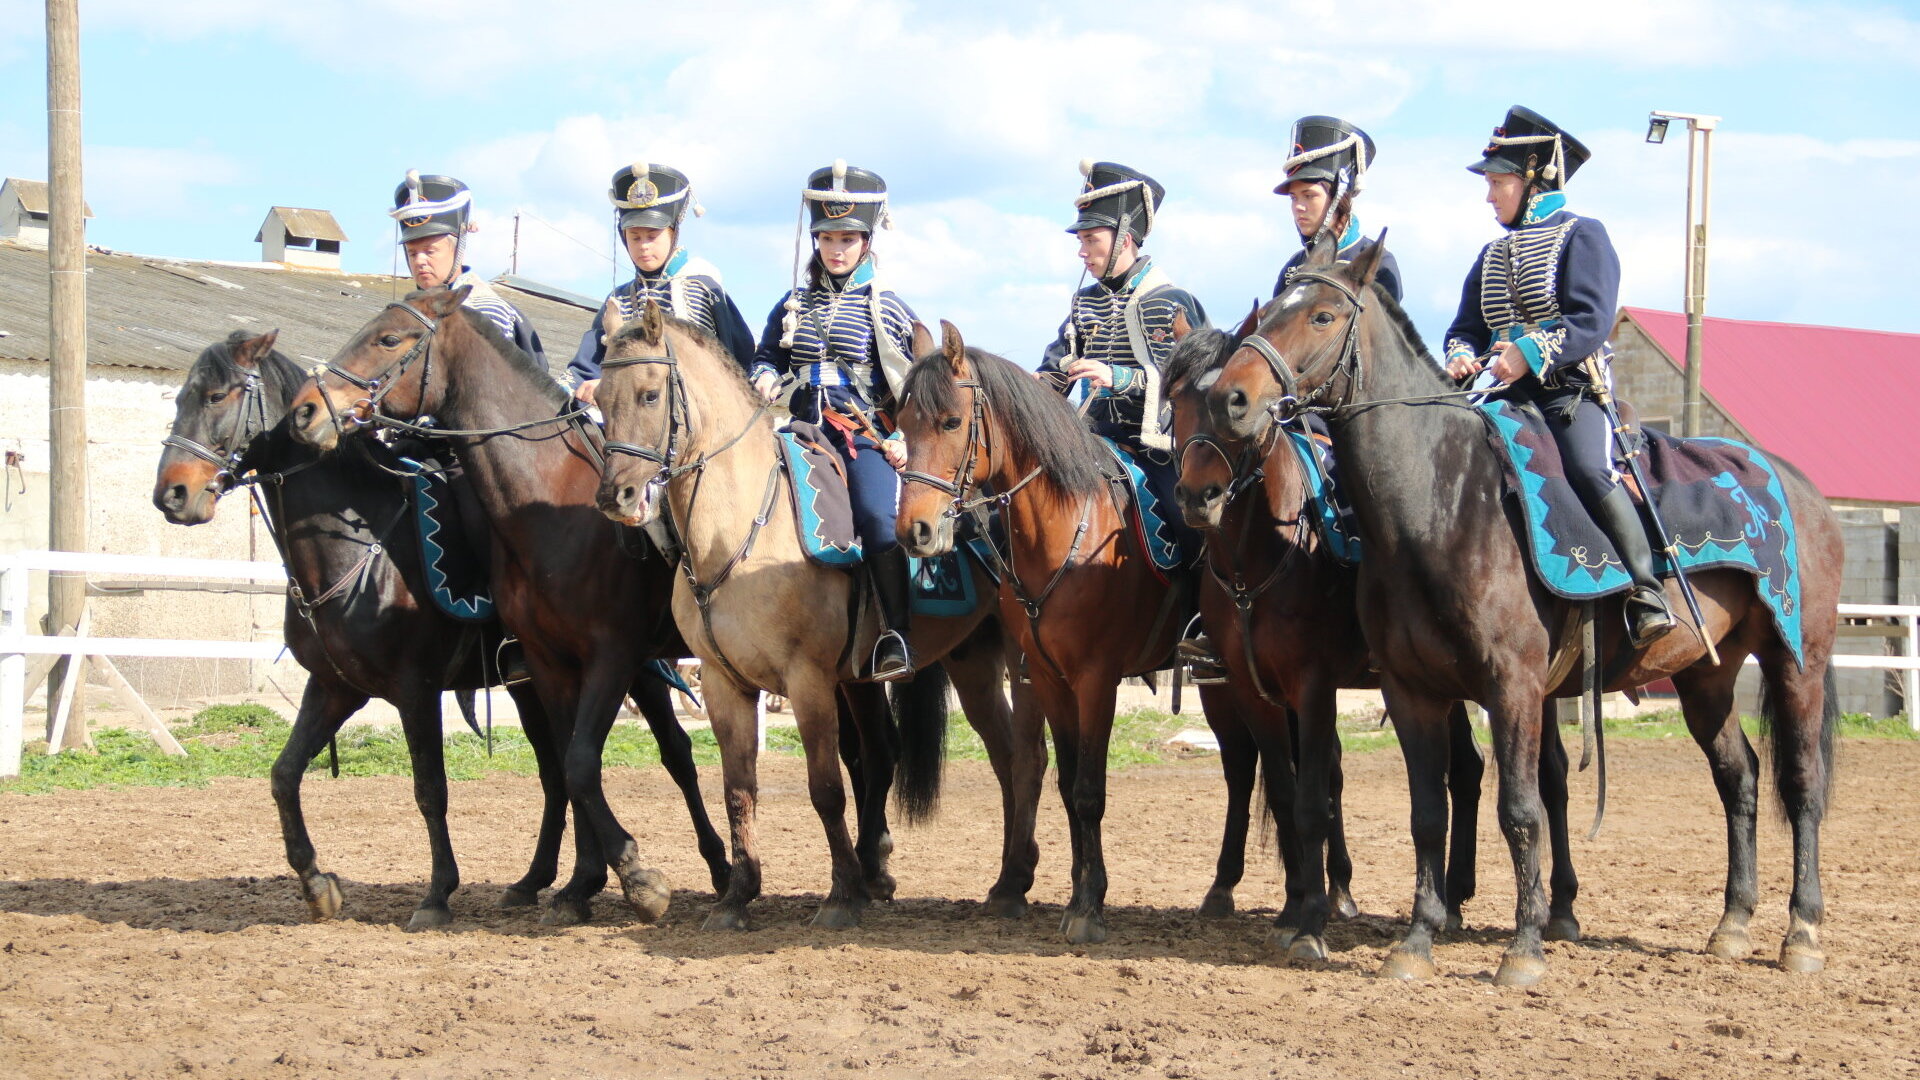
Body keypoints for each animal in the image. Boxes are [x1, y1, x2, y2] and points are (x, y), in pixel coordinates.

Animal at [155, 330, 725, 926]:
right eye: (180, 399)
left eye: (216, 396)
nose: (171, 493)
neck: (364, 548)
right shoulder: (335, 688)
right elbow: (284, 775)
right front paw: (316, 884)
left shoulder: (415, 688)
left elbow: (430, 787)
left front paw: (436, 894)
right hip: (533, 685)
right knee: (556, 775)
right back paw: (538, 881)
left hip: (634, 670)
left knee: (673, 754)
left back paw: (713, 868)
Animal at [587, 299, 1052, 926]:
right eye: (600, 395)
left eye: (649, 395)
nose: (618, 496)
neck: (744, 529)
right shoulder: (723, 683)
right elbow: (738, 789)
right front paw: (739, 893)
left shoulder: (806, 681)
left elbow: (825, 789)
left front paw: (841, 894)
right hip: (966, 663)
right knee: (990, 756)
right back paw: (993, 874)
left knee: (1023, 758)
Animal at [894, 319, 1244, 941]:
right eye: (902, 422)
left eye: (951, 422)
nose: (916, 531)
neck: (1068, 533)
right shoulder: (1048, 678)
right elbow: (1064, 782)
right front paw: (1080, 890)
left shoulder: (1096, 681)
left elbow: (1089, 792)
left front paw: (1089, 907)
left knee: (1249, 767)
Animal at [1198, 239, 1843, 980]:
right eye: (1272, 307)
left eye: (1323, 315)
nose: (1229, 399)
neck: (1443, 503)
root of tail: (1799, 487)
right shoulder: (1410, 690)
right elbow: (1428, 812)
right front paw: (1417, 939)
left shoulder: (1509, 686)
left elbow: (1521, 808)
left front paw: (1524, 945)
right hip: (1704, 676)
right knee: (1739, 777)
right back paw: (1734, 921)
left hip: (1797, 663)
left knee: (1801, 784)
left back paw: (1801, 930)